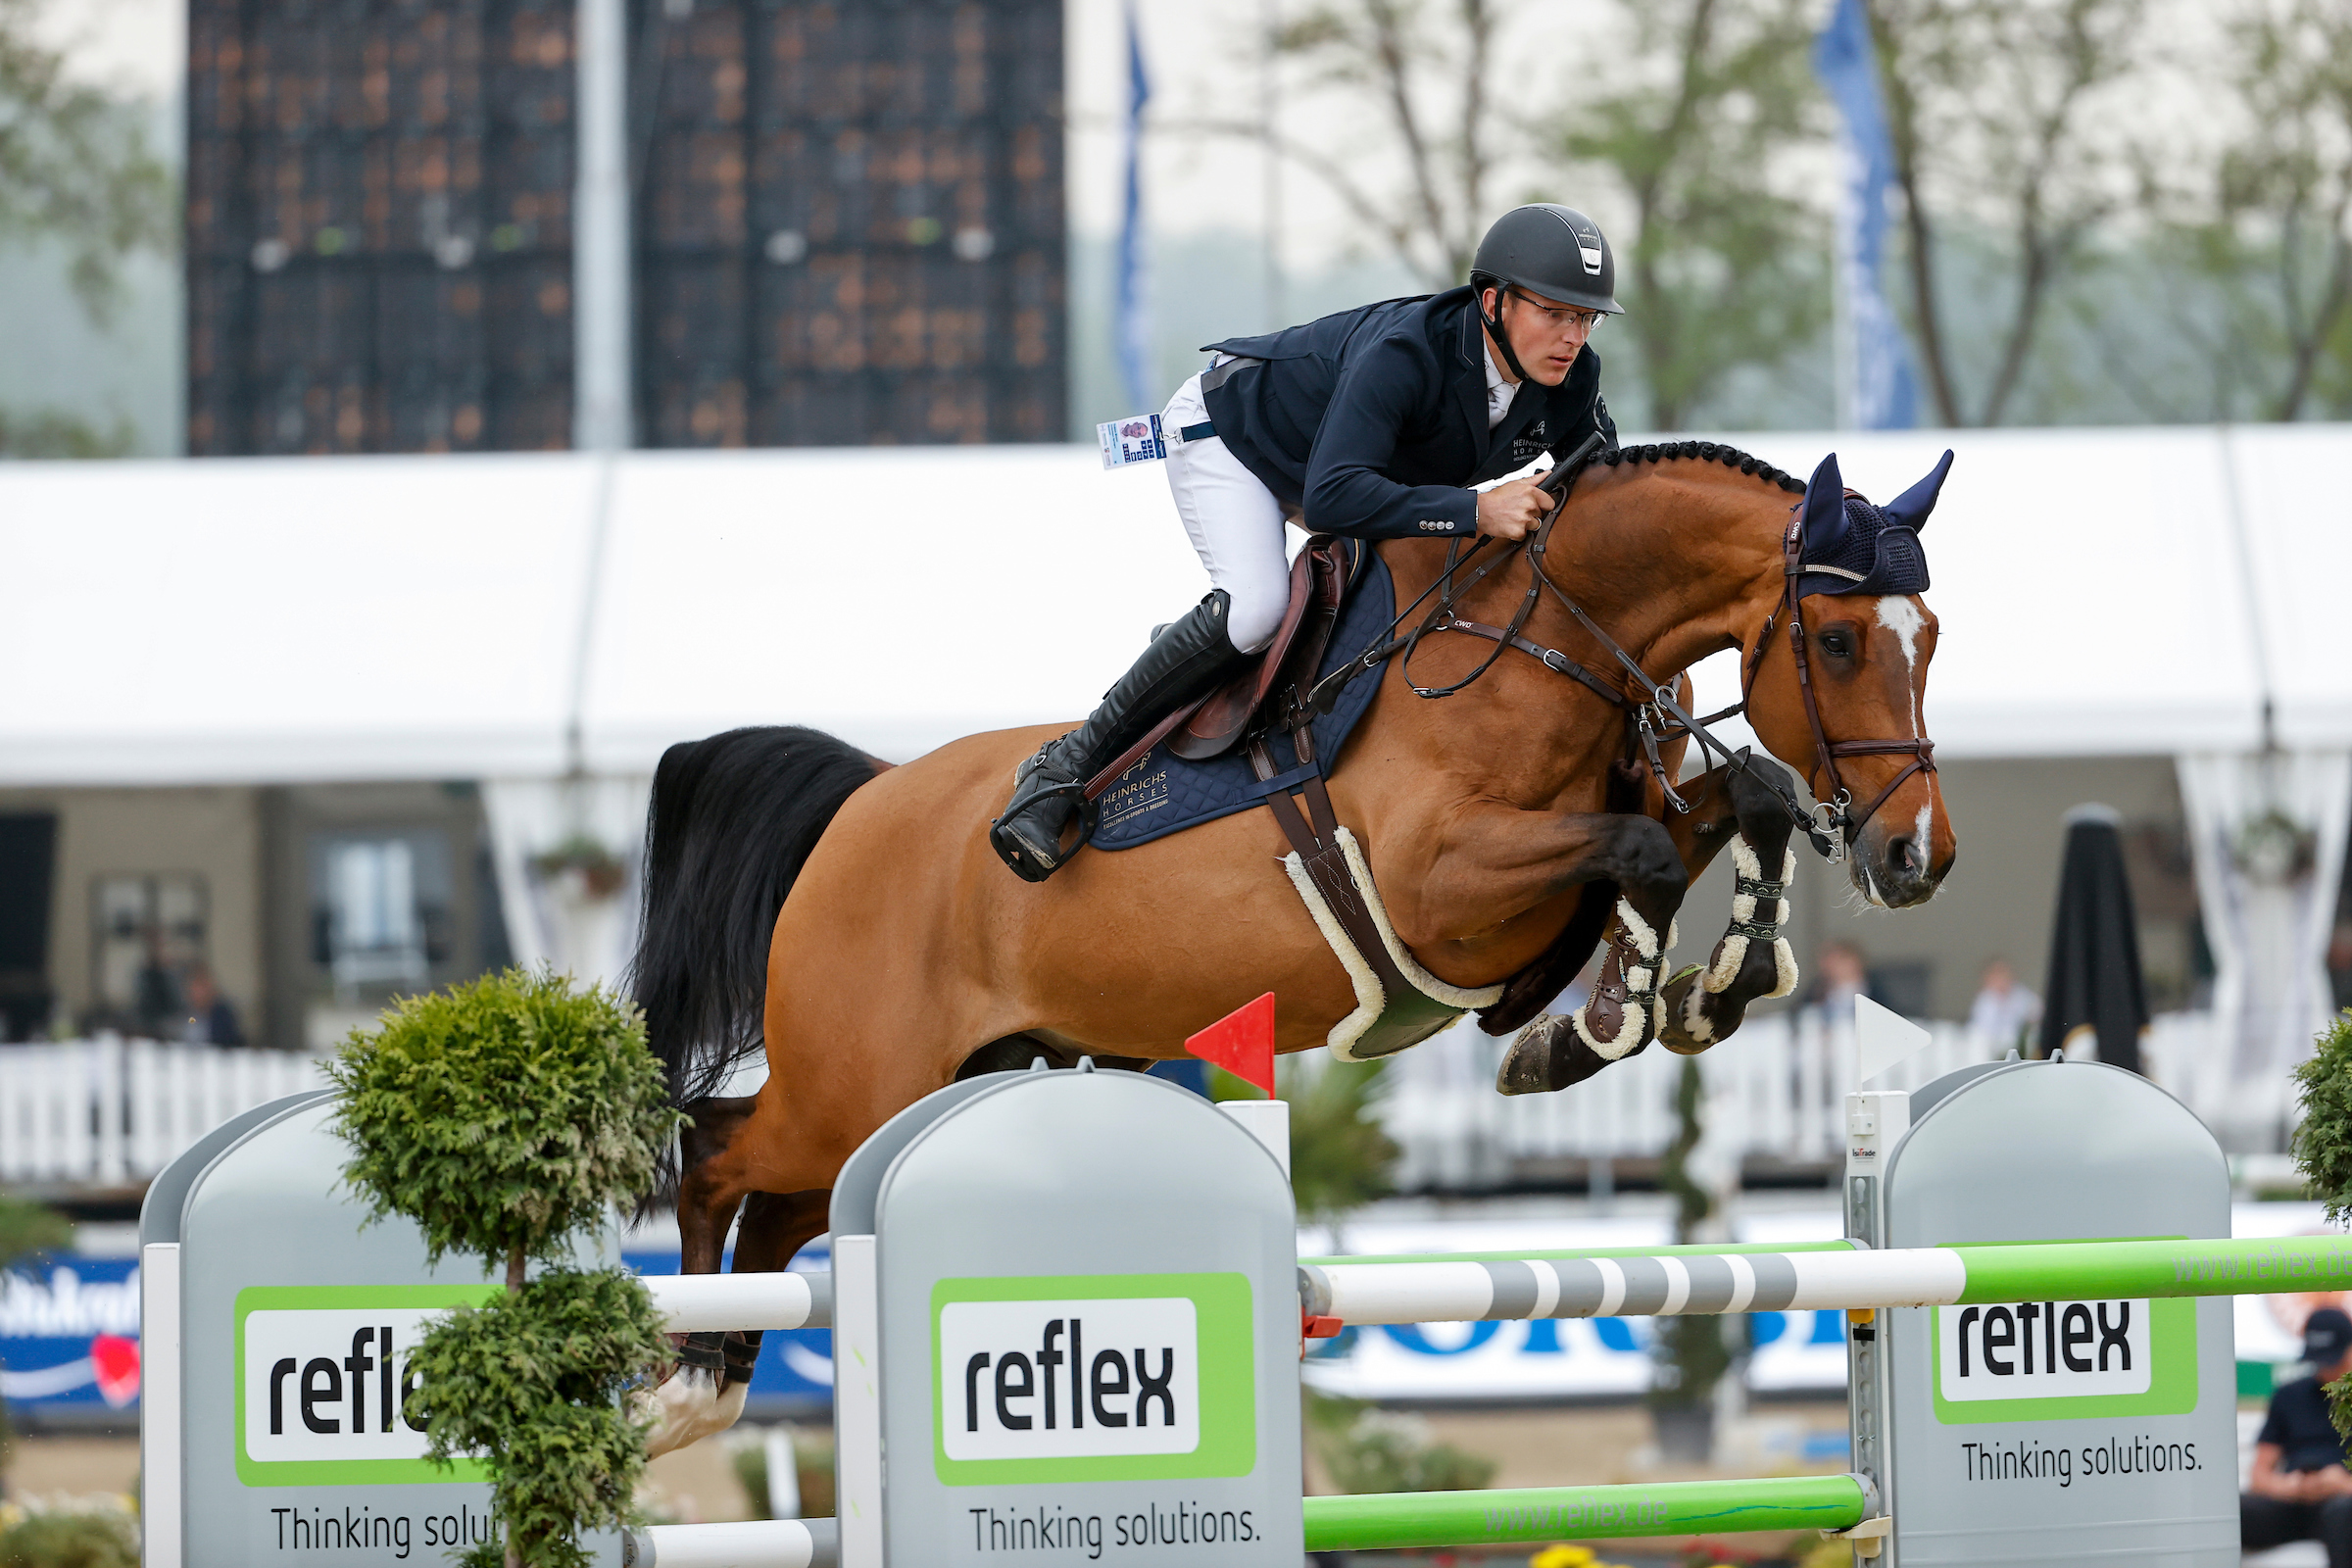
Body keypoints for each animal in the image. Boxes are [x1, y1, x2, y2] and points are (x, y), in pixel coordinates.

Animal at [635, 439, 1956, 1447]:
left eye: (1929, 636)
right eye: (1837, 642)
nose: (1918, 857)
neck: (1542, 648)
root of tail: (864, 799)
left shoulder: (1600, 837)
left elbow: (1745, 801)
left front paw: (1703, 990)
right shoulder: (1441, 881)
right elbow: (1639, 853)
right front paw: (1591, 1028)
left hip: (936, 1085)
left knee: (783, 1212)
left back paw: (717, 1373)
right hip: (856, 1082)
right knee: (713, 1150)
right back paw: (684, 1379)